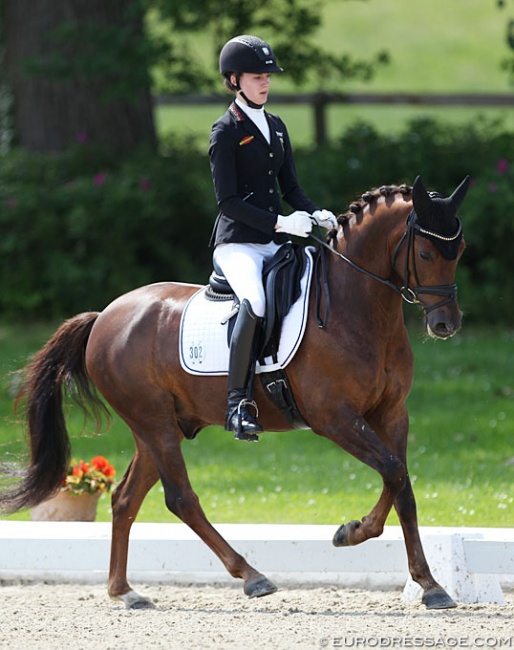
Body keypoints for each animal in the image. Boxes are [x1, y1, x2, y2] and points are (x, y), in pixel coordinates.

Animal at [0, 173, 468, 608]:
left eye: (459, 252)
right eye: (425, 253)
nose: (446, 324)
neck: (355, 308)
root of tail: (104, 317)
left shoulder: (392, 414)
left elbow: (401, 483)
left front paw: (429, 584)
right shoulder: (334, 418)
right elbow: (393, 471)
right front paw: (351, 533)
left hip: (159, 428)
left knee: (125, 498)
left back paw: (124, 591)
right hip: (155, 424)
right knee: (181, 499)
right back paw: (251, 576)